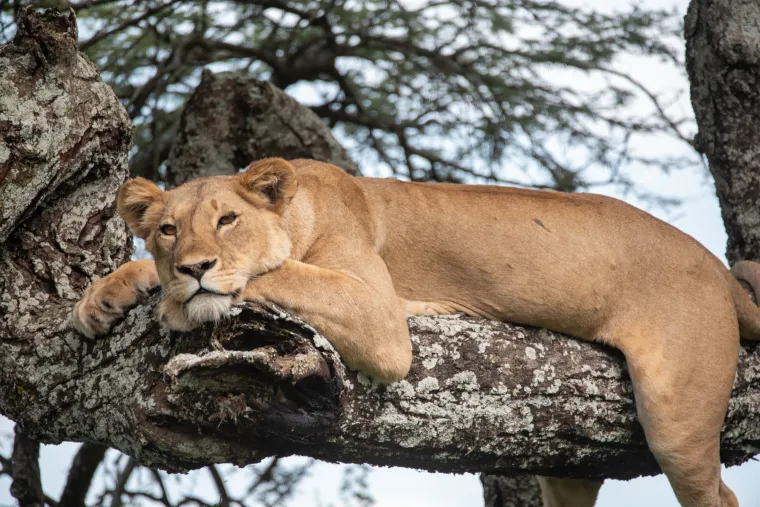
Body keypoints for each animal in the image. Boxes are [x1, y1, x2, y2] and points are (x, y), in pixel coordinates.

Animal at [72, 158, 760, 507]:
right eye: (168, 230)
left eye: (227, 220)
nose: (194, 267)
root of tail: (717, 268)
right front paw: (102, 298)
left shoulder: (382, 321)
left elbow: (278, 271)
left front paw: (187, 301)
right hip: (567, 466)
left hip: (676, 417)